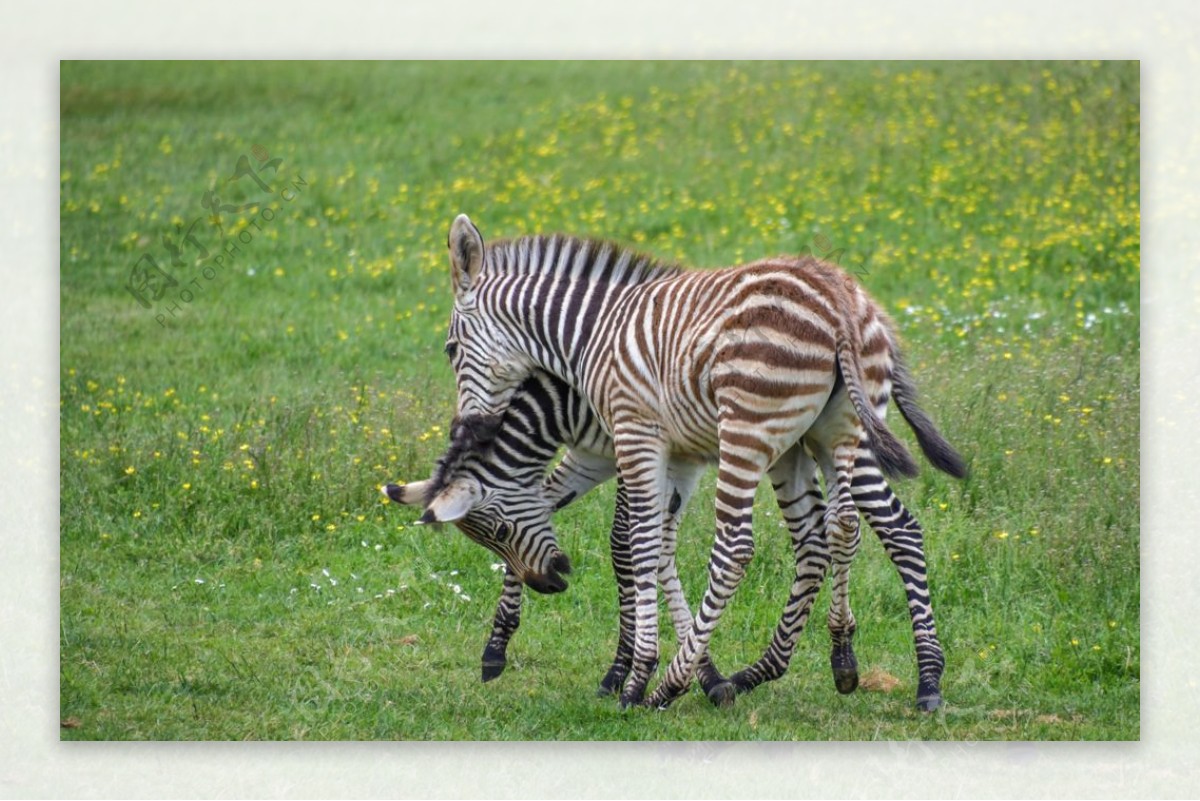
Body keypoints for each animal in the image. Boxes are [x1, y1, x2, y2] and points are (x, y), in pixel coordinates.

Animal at [432, 215, 964, 709]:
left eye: (450, 349)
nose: (468, 430)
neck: (586, 341)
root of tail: (839, 300)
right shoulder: (645, 456)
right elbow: (647, 542)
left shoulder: (634, 436)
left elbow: (632, 544)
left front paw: (634, 675)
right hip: (830, 435)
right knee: (841, 530)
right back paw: (848, 664)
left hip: (753, 431)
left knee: (760, 545)